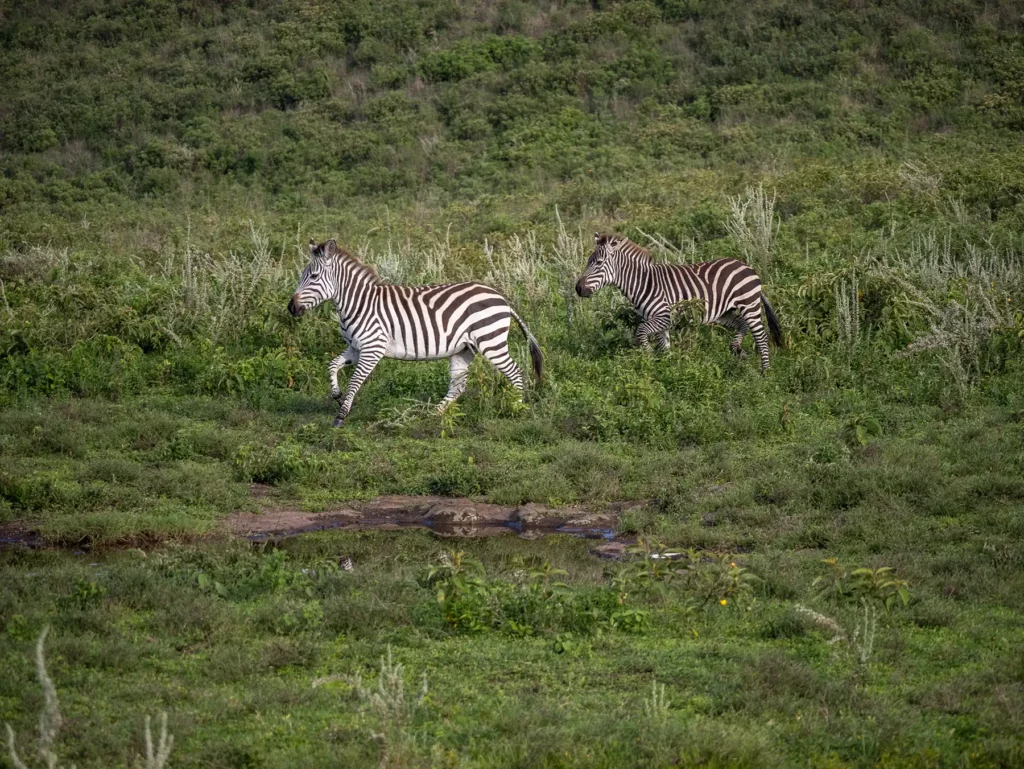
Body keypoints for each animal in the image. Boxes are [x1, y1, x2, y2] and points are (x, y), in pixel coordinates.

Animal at [288, 239, 542, 427]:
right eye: (302, 276)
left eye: (313, 277)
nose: (291, 308)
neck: (358, 302)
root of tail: (501, 298)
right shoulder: (355, 347)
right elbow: (332, 365)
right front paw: (337, 395)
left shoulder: (373, 347)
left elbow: (355, 380)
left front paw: (341, 415)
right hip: (464, 348)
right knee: (458, 385)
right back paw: (434, 414)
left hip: (491, 342)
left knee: (515, 372)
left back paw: (517, 407)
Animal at [575, 233, 783, 371]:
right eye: (588, 261)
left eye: (599, 263)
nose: (578, 288)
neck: (643, 282)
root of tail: (747, 266)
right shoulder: (659, 321)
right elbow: (664, 346)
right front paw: (667, 370)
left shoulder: (664, 317)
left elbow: (640, 332)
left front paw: (649, 357)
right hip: (725, 311)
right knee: (742, 325)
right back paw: (737, 349)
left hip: (749, 305)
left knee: (761, 336)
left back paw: (765, 372)